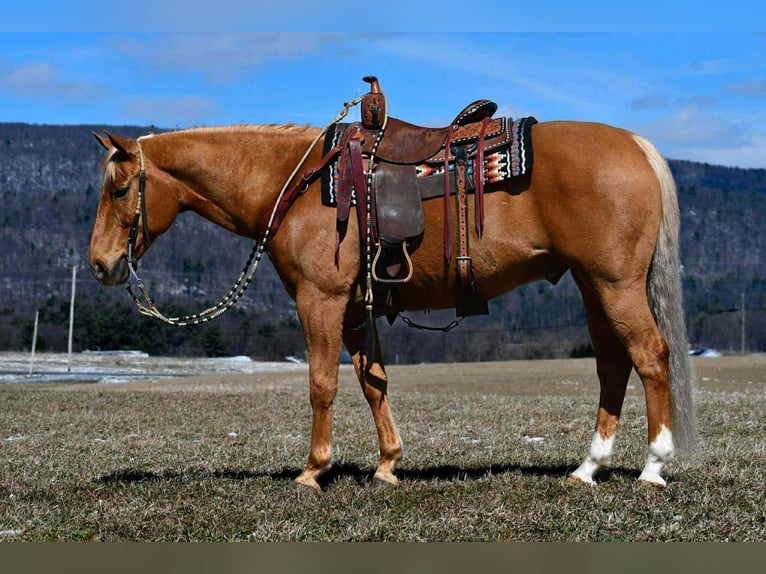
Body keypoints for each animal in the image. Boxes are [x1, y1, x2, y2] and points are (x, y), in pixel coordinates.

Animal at [89, 111, 697, 491]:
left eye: (119, 189)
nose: (100, 264)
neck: (296, 184)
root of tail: (636, 145)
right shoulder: (356, 310)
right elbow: (373, 381)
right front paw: (387, 465)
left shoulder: (321, 300)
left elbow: (323, 383)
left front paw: (313, 471)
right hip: (593, 285)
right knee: (614, 364)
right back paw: (588, 467)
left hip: (615, 284)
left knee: (650, 357)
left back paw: (652, 466)